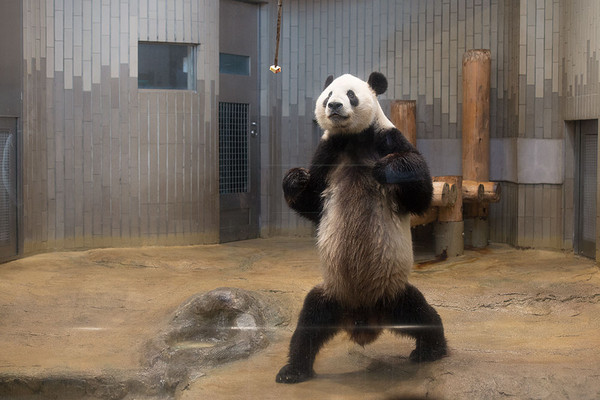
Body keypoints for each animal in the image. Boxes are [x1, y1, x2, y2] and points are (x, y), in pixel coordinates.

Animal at [276, 72, 446, 384]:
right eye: (328, 94)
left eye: (351, 95)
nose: (334, 106)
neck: (352, 138)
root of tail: (365, 321)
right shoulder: (328, 152)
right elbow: (312, 203)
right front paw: (295, 179)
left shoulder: (386, 138)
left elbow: (421, 193)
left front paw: (388, 169)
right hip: (332, 294)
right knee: (308, 325)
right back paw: (293, 370)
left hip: (393, 293)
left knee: (421, 314)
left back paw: (431, 349)